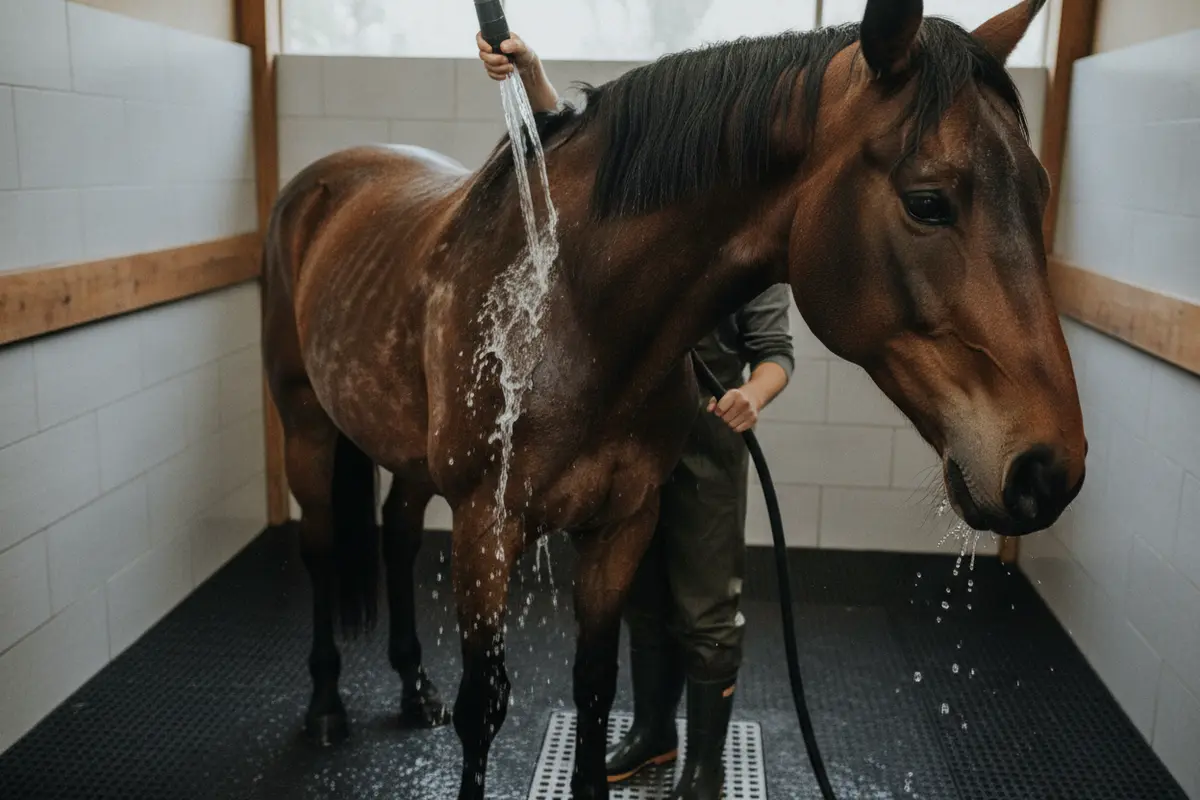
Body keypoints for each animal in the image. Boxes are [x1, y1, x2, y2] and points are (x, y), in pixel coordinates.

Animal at [261, 0, 1086, 797]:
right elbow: (484, 707)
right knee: (322, 550)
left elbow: (597, 684)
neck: (569, 307)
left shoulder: (622, 523)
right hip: (305, 426)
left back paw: (412, 689)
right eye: (928, 202)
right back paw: (326, 707)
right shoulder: (484, 528)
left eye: (1042, 191)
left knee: (398, 537)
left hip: (408, 456)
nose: (1050, 470)